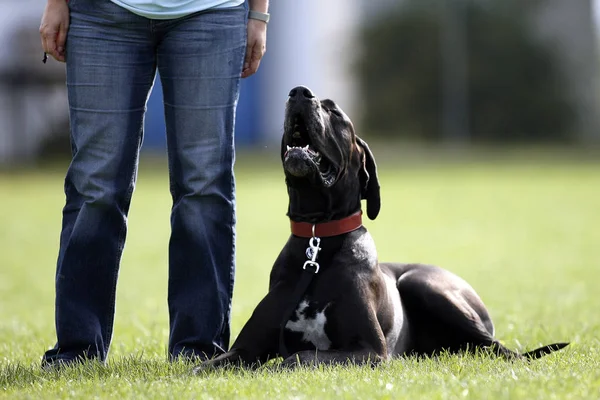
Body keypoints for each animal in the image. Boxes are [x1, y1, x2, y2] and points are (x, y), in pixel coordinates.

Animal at [193, 86, 568, 370]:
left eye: (336, 113)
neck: (317, 241)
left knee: (498, 348)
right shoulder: (245, 349)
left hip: (423, 283)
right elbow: (211, 364)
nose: (299, 92)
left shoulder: (370, 351)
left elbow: (302, 355)